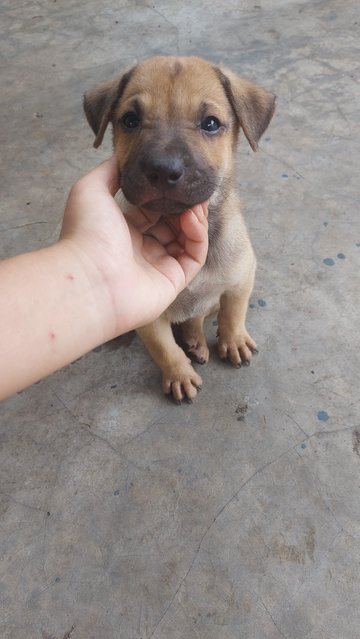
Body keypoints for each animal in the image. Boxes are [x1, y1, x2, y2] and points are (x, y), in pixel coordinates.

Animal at [83, 56, 276, 404]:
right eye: (130, 120)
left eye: (210, 123)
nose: (162, 170)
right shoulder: (149, 313)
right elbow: (163, 348)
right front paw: (179, 374)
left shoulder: (241, 277)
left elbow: (234, 312)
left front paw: (234, 339)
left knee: (198, 315)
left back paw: (197, 341)